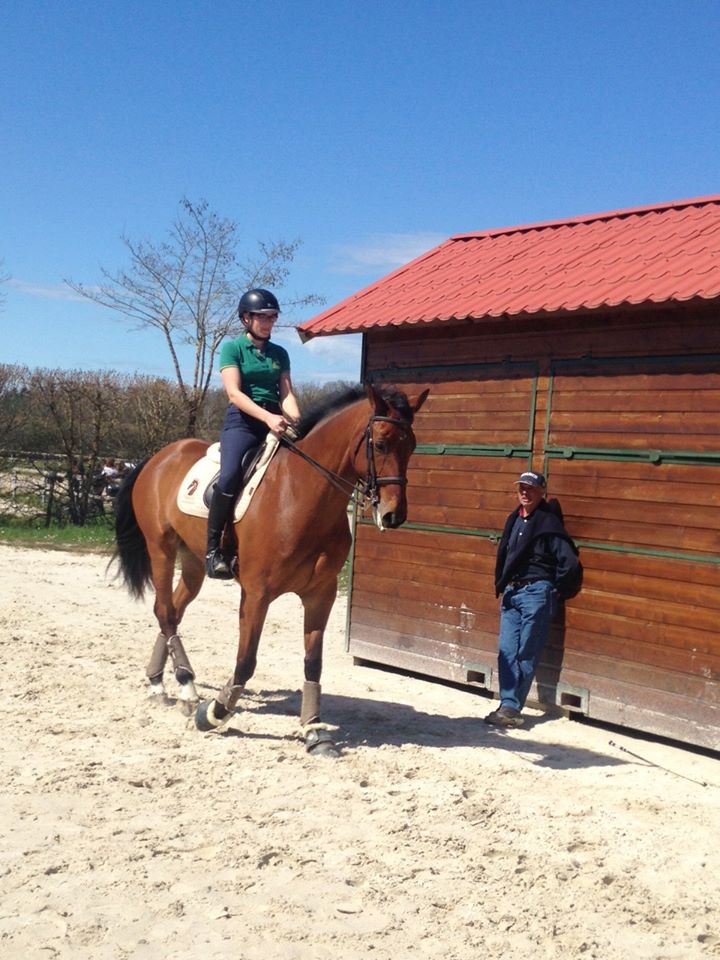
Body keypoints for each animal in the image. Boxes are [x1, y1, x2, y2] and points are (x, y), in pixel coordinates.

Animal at [112, 384, 428, 756]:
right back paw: (185, 687)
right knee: (163, 609)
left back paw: (161, 683)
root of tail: (160, 457)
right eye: (380, 444)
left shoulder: (321, 595)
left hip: (192, 563)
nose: (394, 514)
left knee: (171, 612)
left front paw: (314, 731)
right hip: (160, 549)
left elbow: (313, 664)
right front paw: (214, 713)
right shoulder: (256, 595)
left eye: (412, 445)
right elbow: (246, 661)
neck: (299, 496)